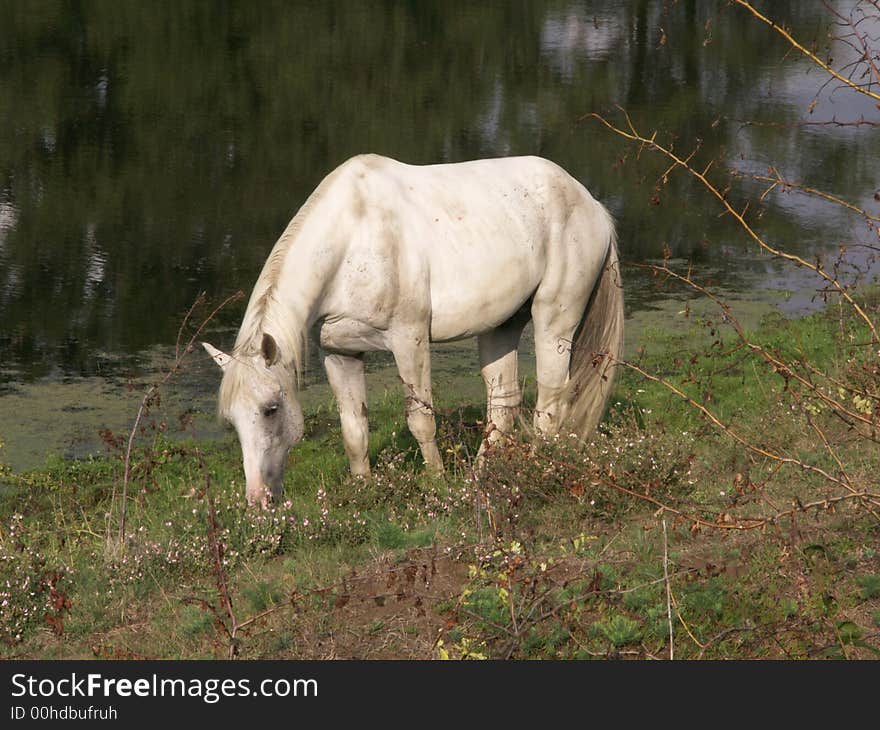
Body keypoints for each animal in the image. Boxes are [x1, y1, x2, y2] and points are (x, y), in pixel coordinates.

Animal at [203, 154, 624, 506]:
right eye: (231, 421)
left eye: (271, 409)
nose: (258, 500)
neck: (352, 239)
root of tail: (590, 202)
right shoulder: (340, 354)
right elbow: (353, 429)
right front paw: (364, 490)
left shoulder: (410, 340)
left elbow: (421, 420)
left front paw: (437, 484)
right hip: (501, 326)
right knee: (503, 405)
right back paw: (480, 480)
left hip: (555, 319)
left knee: (551, 401)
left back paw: (537, 470)